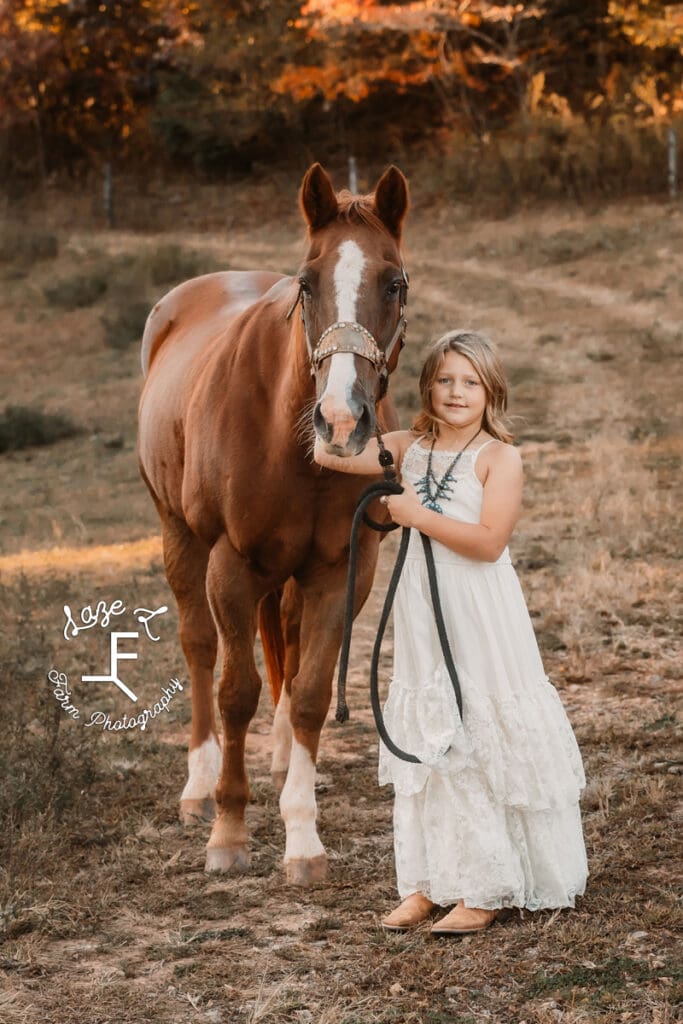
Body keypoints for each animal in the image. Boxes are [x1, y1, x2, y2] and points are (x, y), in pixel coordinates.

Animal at [136, 163, 409, 884]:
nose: (341, 422)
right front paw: (229, 830)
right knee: (200, 648)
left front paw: (303, 838)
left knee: (281, 636)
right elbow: (237, 691)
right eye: (308, 283)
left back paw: (284, 760)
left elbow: (311, 691)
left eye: (394, 283)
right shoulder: (232, 564)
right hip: (180, 536)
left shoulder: (341, 569)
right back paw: (198, 788)